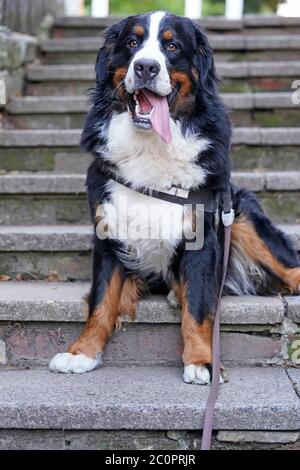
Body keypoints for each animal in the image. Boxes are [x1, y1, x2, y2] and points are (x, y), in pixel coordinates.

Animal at [49, 11, 300, 386]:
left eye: (172, 46)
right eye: (132, 42)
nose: (146, 67)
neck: (151, 146)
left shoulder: (203, 237)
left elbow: (197, 307)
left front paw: (202, 361)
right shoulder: (108, 232)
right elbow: (101, 301)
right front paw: (82, 353)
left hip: (241, 215)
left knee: (290, 268)